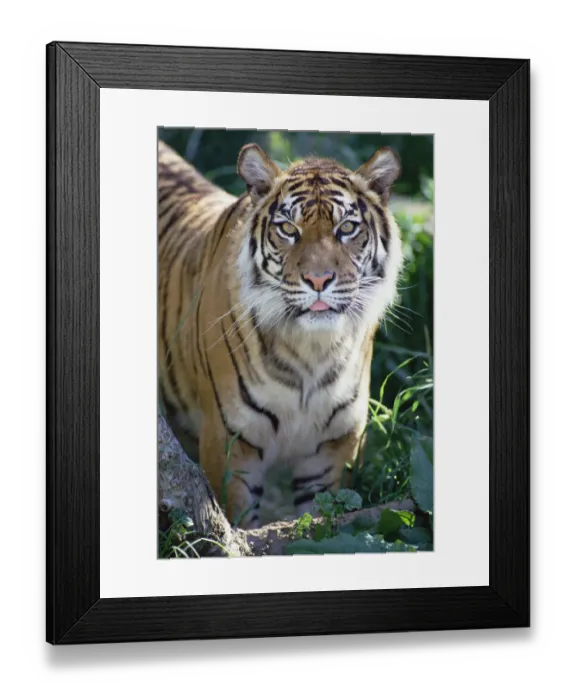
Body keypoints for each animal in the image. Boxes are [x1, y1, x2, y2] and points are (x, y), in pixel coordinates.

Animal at [158, 138, 403, 530]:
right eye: (289, 229)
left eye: (347, 227)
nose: (319, 279)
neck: (312, 352)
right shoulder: (230, 446)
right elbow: (239, 522)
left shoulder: (333, 451)